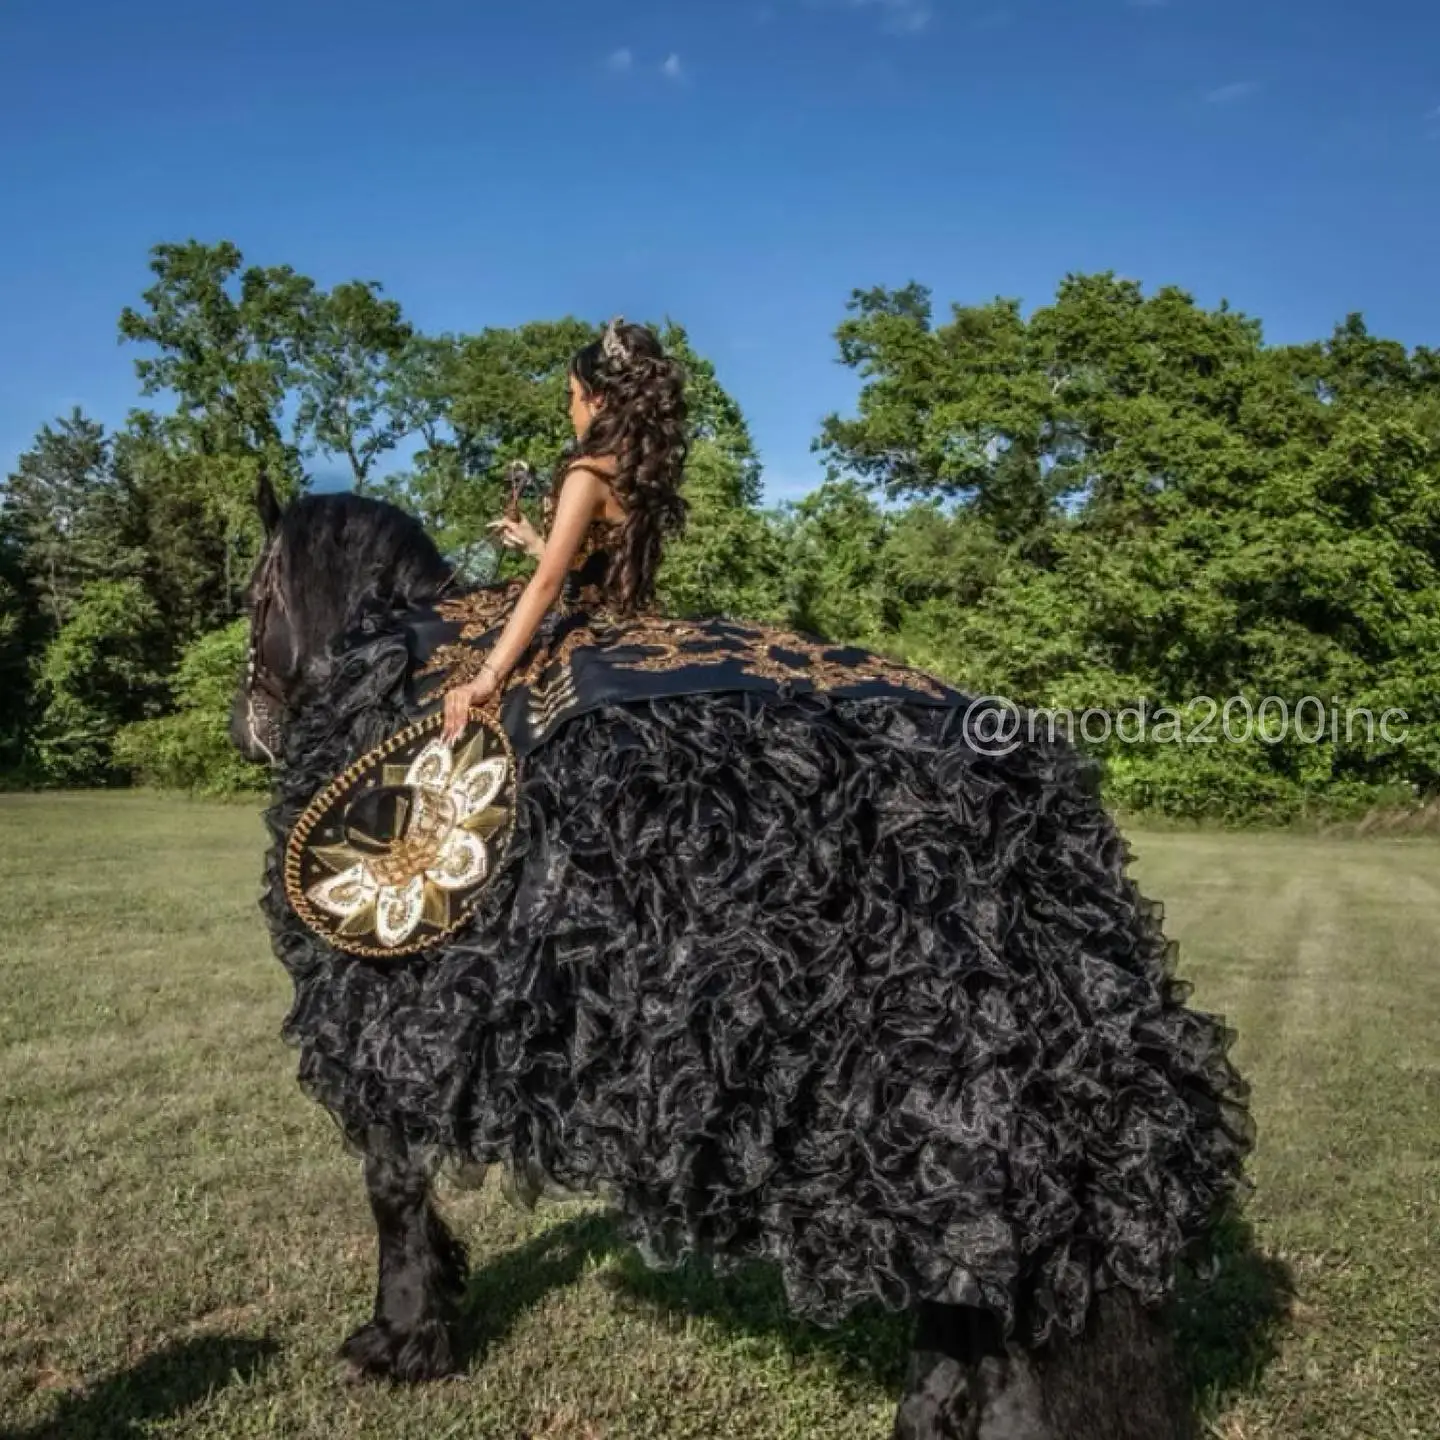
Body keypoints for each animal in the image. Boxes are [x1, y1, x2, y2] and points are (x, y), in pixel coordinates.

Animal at [233, 483, 1249, 1440]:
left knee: (988, 1303)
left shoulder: (382, 1016)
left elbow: (391, 1187)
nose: (248, 722)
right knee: (975, 1291)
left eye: (254, 594)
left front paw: (400, 1336)